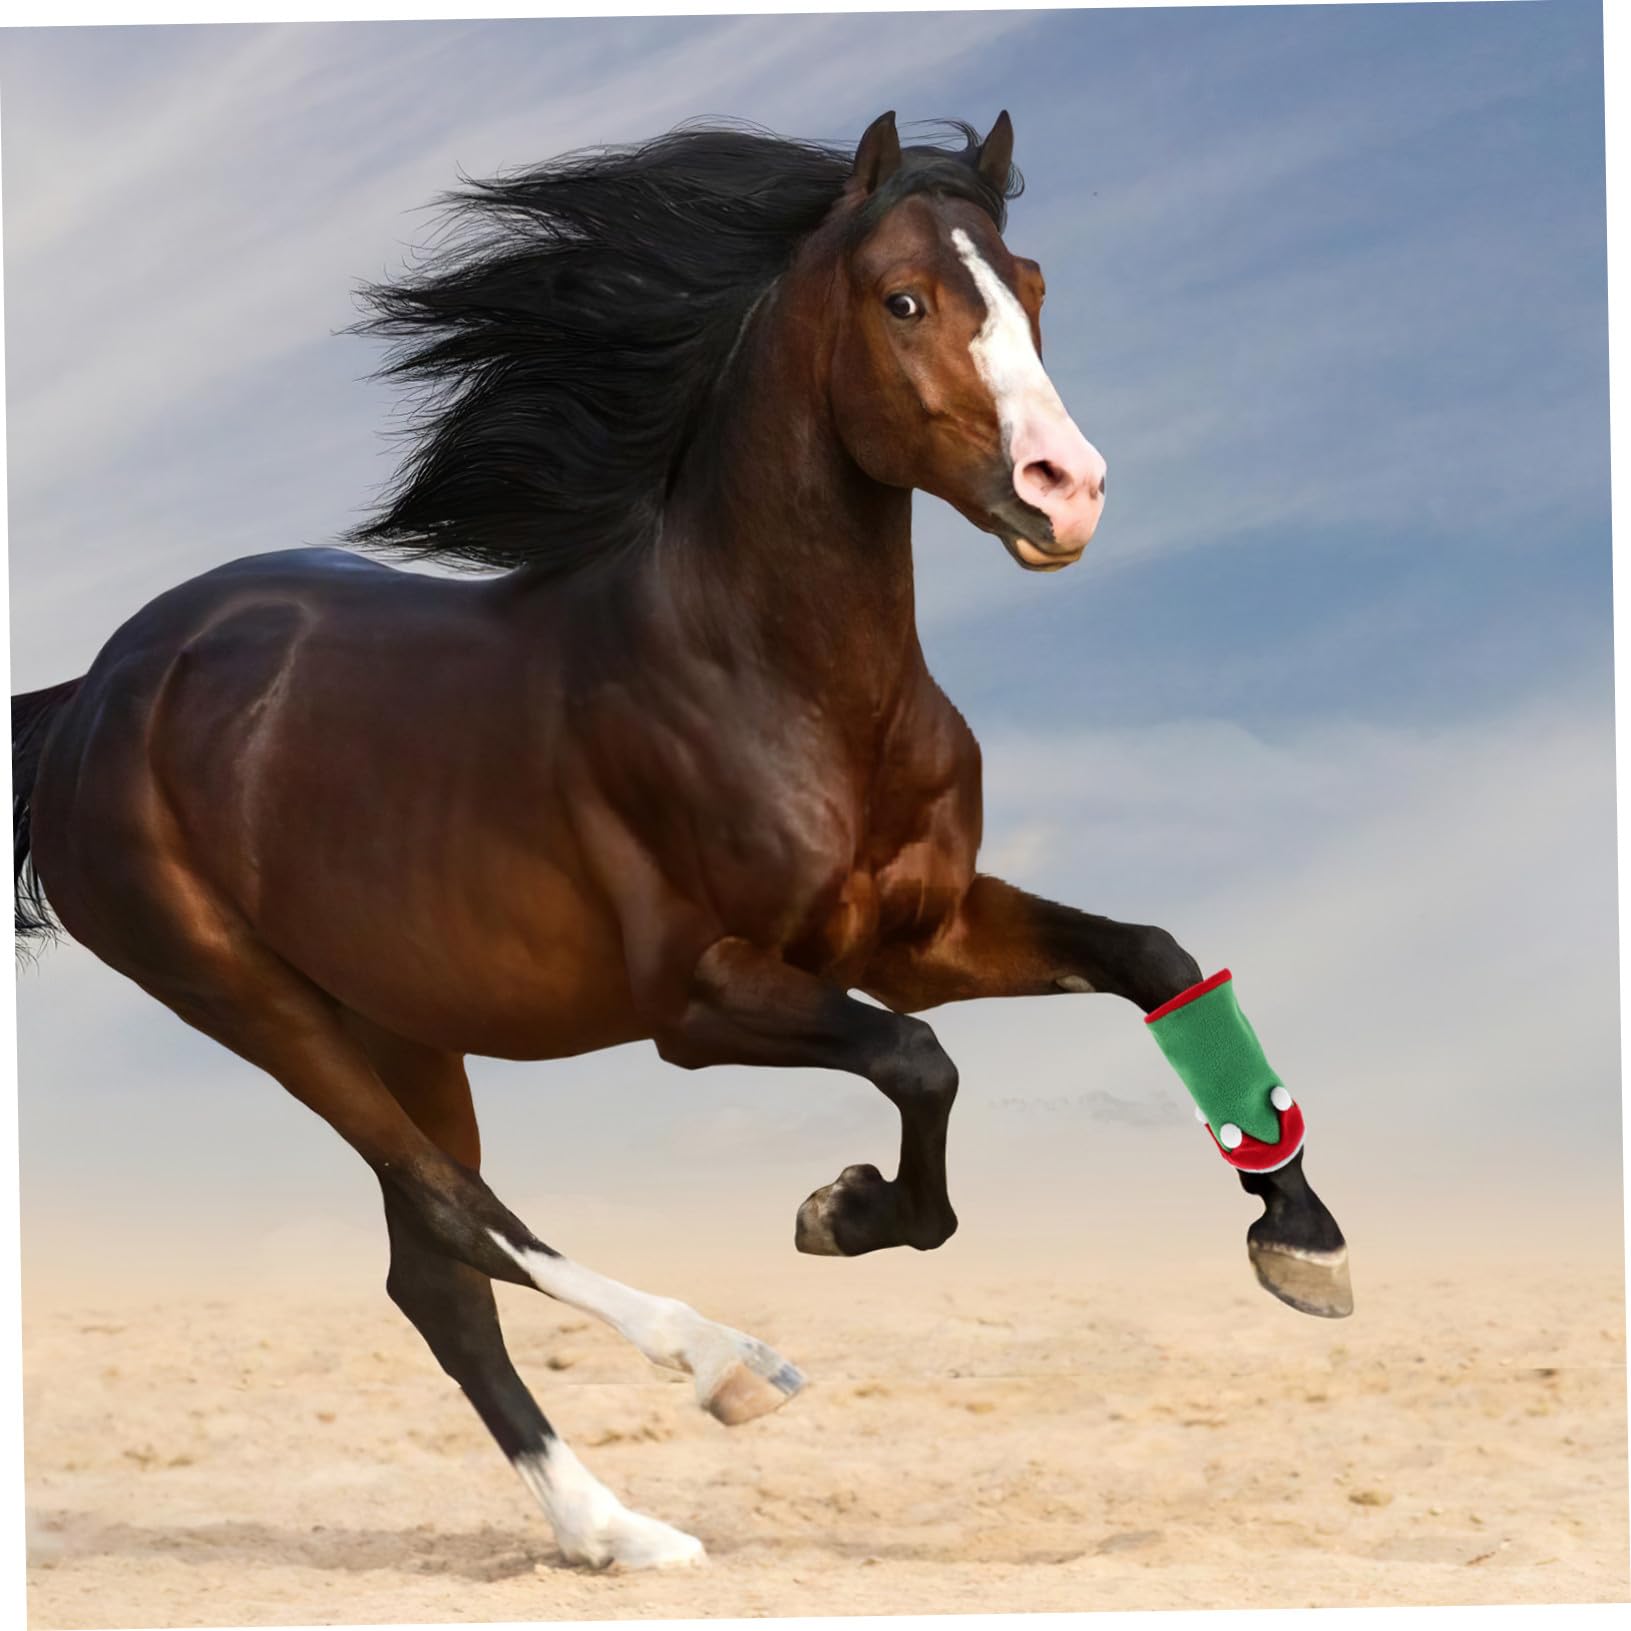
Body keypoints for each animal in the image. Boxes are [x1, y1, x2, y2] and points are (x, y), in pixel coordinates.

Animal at [11, 111, 1349, 1570]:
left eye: (1032, 285)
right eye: (902, 300)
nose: (1068, 493)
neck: (775, 677)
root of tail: (97, 687)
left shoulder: (919, 930)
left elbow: (1151, 956)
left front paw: (1298, 1234)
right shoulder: (700, 997)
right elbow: (917, 1060)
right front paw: (844, 1210)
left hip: (399, 1014)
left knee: (433, 1269)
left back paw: (611, 1528)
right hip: (243, 994)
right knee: (454, 1207)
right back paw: (724, 1365)